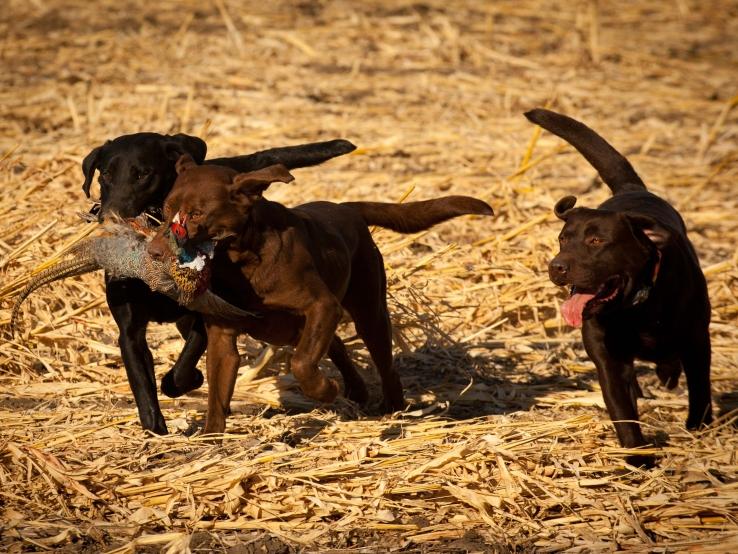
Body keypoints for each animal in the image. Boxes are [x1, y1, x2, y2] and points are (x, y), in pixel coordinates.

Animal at [81, 133, 356, 432]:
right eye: (105, 174)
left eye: (143, 174)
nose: (110, 217)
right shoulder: (130, 331)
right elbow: (143, 386)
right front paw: (155, 431)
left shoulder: (204, 318)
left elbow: (182, 370)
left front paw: (188, 380)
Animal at [147, 154, 492, 432]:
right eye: (165, 210)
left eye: (196, 214)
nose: (154, 252)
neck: (243, 263)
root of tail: (346, 209)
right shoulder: (222, 336)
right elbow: (218, 391)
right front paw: (212, 437)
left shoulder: (321, 305)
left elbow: (302, 363)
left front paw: (326, 390)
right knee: (335, 344)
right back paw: (358, 391)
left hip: (369, 312)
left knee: (383, 361)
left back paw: (392, 406)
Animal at [528, 106, 712, 462]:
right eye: (562, 239)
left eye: (597, 241)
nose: (556, 267)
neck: (636, 309)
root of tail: (630, 189)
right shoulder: (608, 359)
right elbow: (622, 410)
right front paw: (638, 455)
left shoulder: (697, 341)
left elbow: (700, 389)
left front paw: (700, 428)